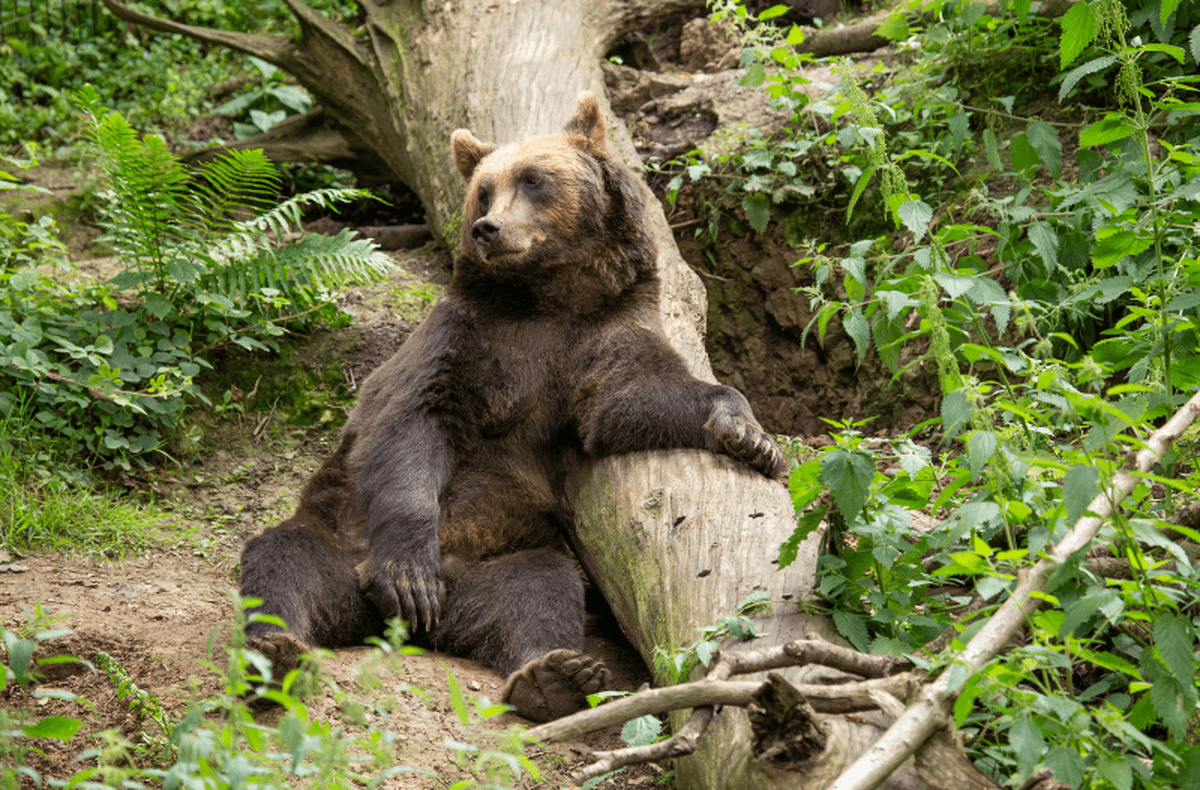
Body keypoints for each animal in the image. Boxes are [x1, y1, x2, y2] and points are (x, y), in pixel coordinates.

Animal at [238, 91, 787, 722]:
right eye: (484, 189)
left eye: (533, 179)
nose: (487, 228)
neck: (550, 298)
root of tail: (404, 629)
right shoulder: (464, 338)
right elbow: (410, 425)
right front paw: (408, 571)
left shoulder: (600, 332)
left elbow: (629, 401)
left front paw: (752, 437)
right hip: (340, 540)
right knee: (284, 562)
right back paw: (278, 650)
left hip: (497, 559)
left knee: (537, 590)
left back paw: (553, 675)